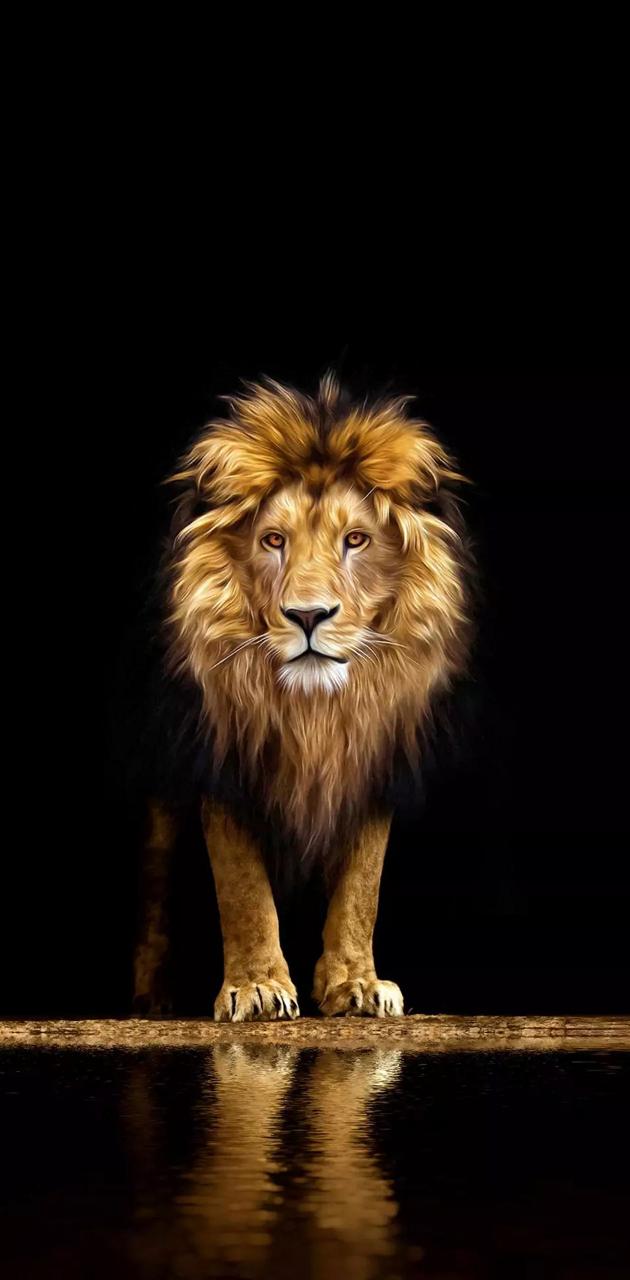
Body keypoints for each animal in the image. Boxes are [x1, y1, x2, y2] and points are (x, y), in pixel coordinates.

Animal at [132, 371, 474, 1020]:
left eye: (356, 539)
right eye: (273, 540)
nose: (309, 615)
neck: (313, 710)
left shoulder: (372, 760)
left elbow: (362, 887)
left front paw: (357, 983)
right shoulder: (222, 761)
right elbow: (241, 886)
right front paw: (257, 987)